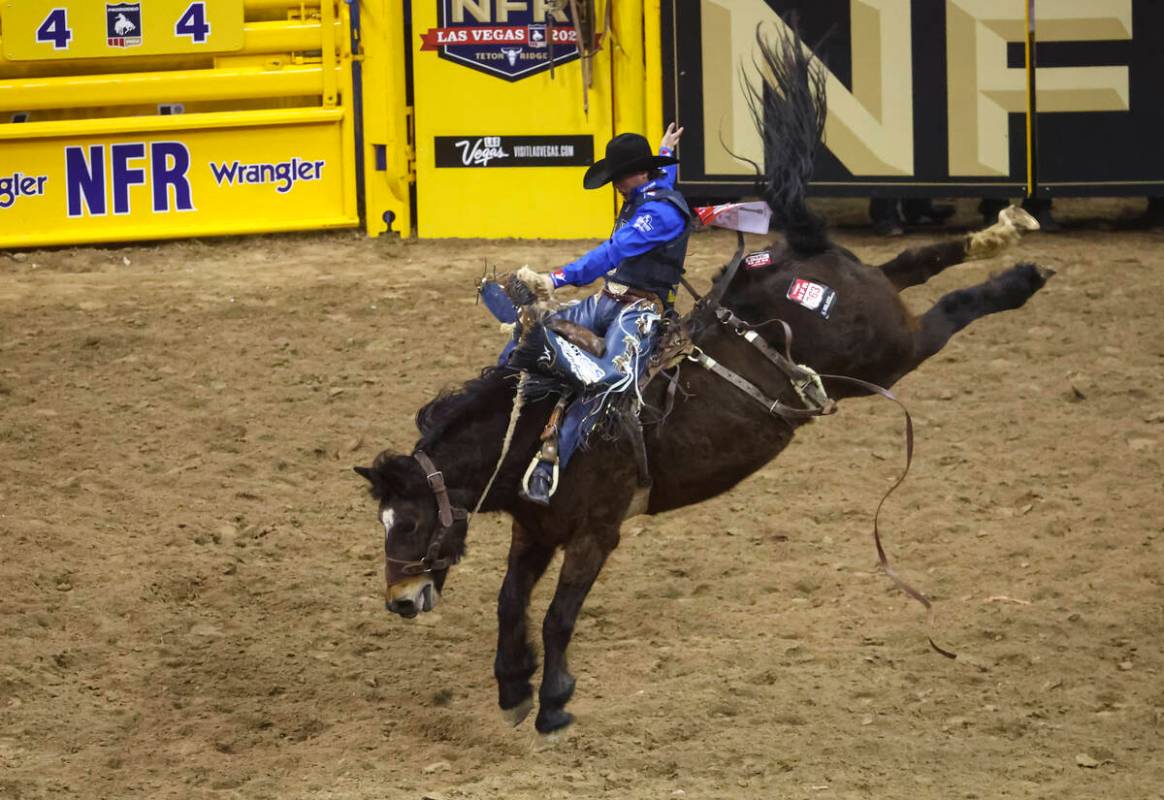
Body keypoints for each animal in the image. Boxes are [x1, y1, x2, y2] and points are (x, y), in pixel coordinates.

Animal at [349, 25, 1052, 740]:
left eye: (410, 522)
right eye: (382, 522)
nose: (399, 601)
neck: (539, 432)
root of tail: (798, 250)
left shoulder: (596, 532)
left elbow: (556, 615)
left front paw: (552, 701)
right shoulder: (535, 531)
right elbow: (510, 602)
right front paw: (513, 685)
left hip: (886, 355)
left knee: (947, 312)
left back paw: (1017, 277)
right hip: (873, 312)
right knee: (915, 261)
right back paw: (1002, 232)